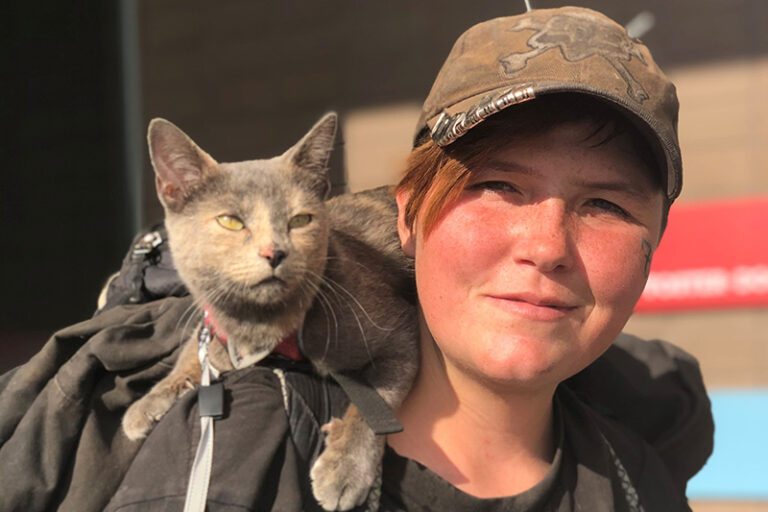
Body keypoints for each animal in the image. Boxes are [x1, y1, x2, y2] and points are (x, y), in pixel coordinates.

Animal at [121, 113, 420, 512]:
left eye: (300, 220)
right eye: (231, 221)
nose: (274, 252)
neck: (271, 328)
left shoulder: (400, 330)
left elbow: (376, 402)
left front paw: (344, 469)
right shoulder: (216, 326)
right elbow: (196, 346)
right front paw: (148, 401)